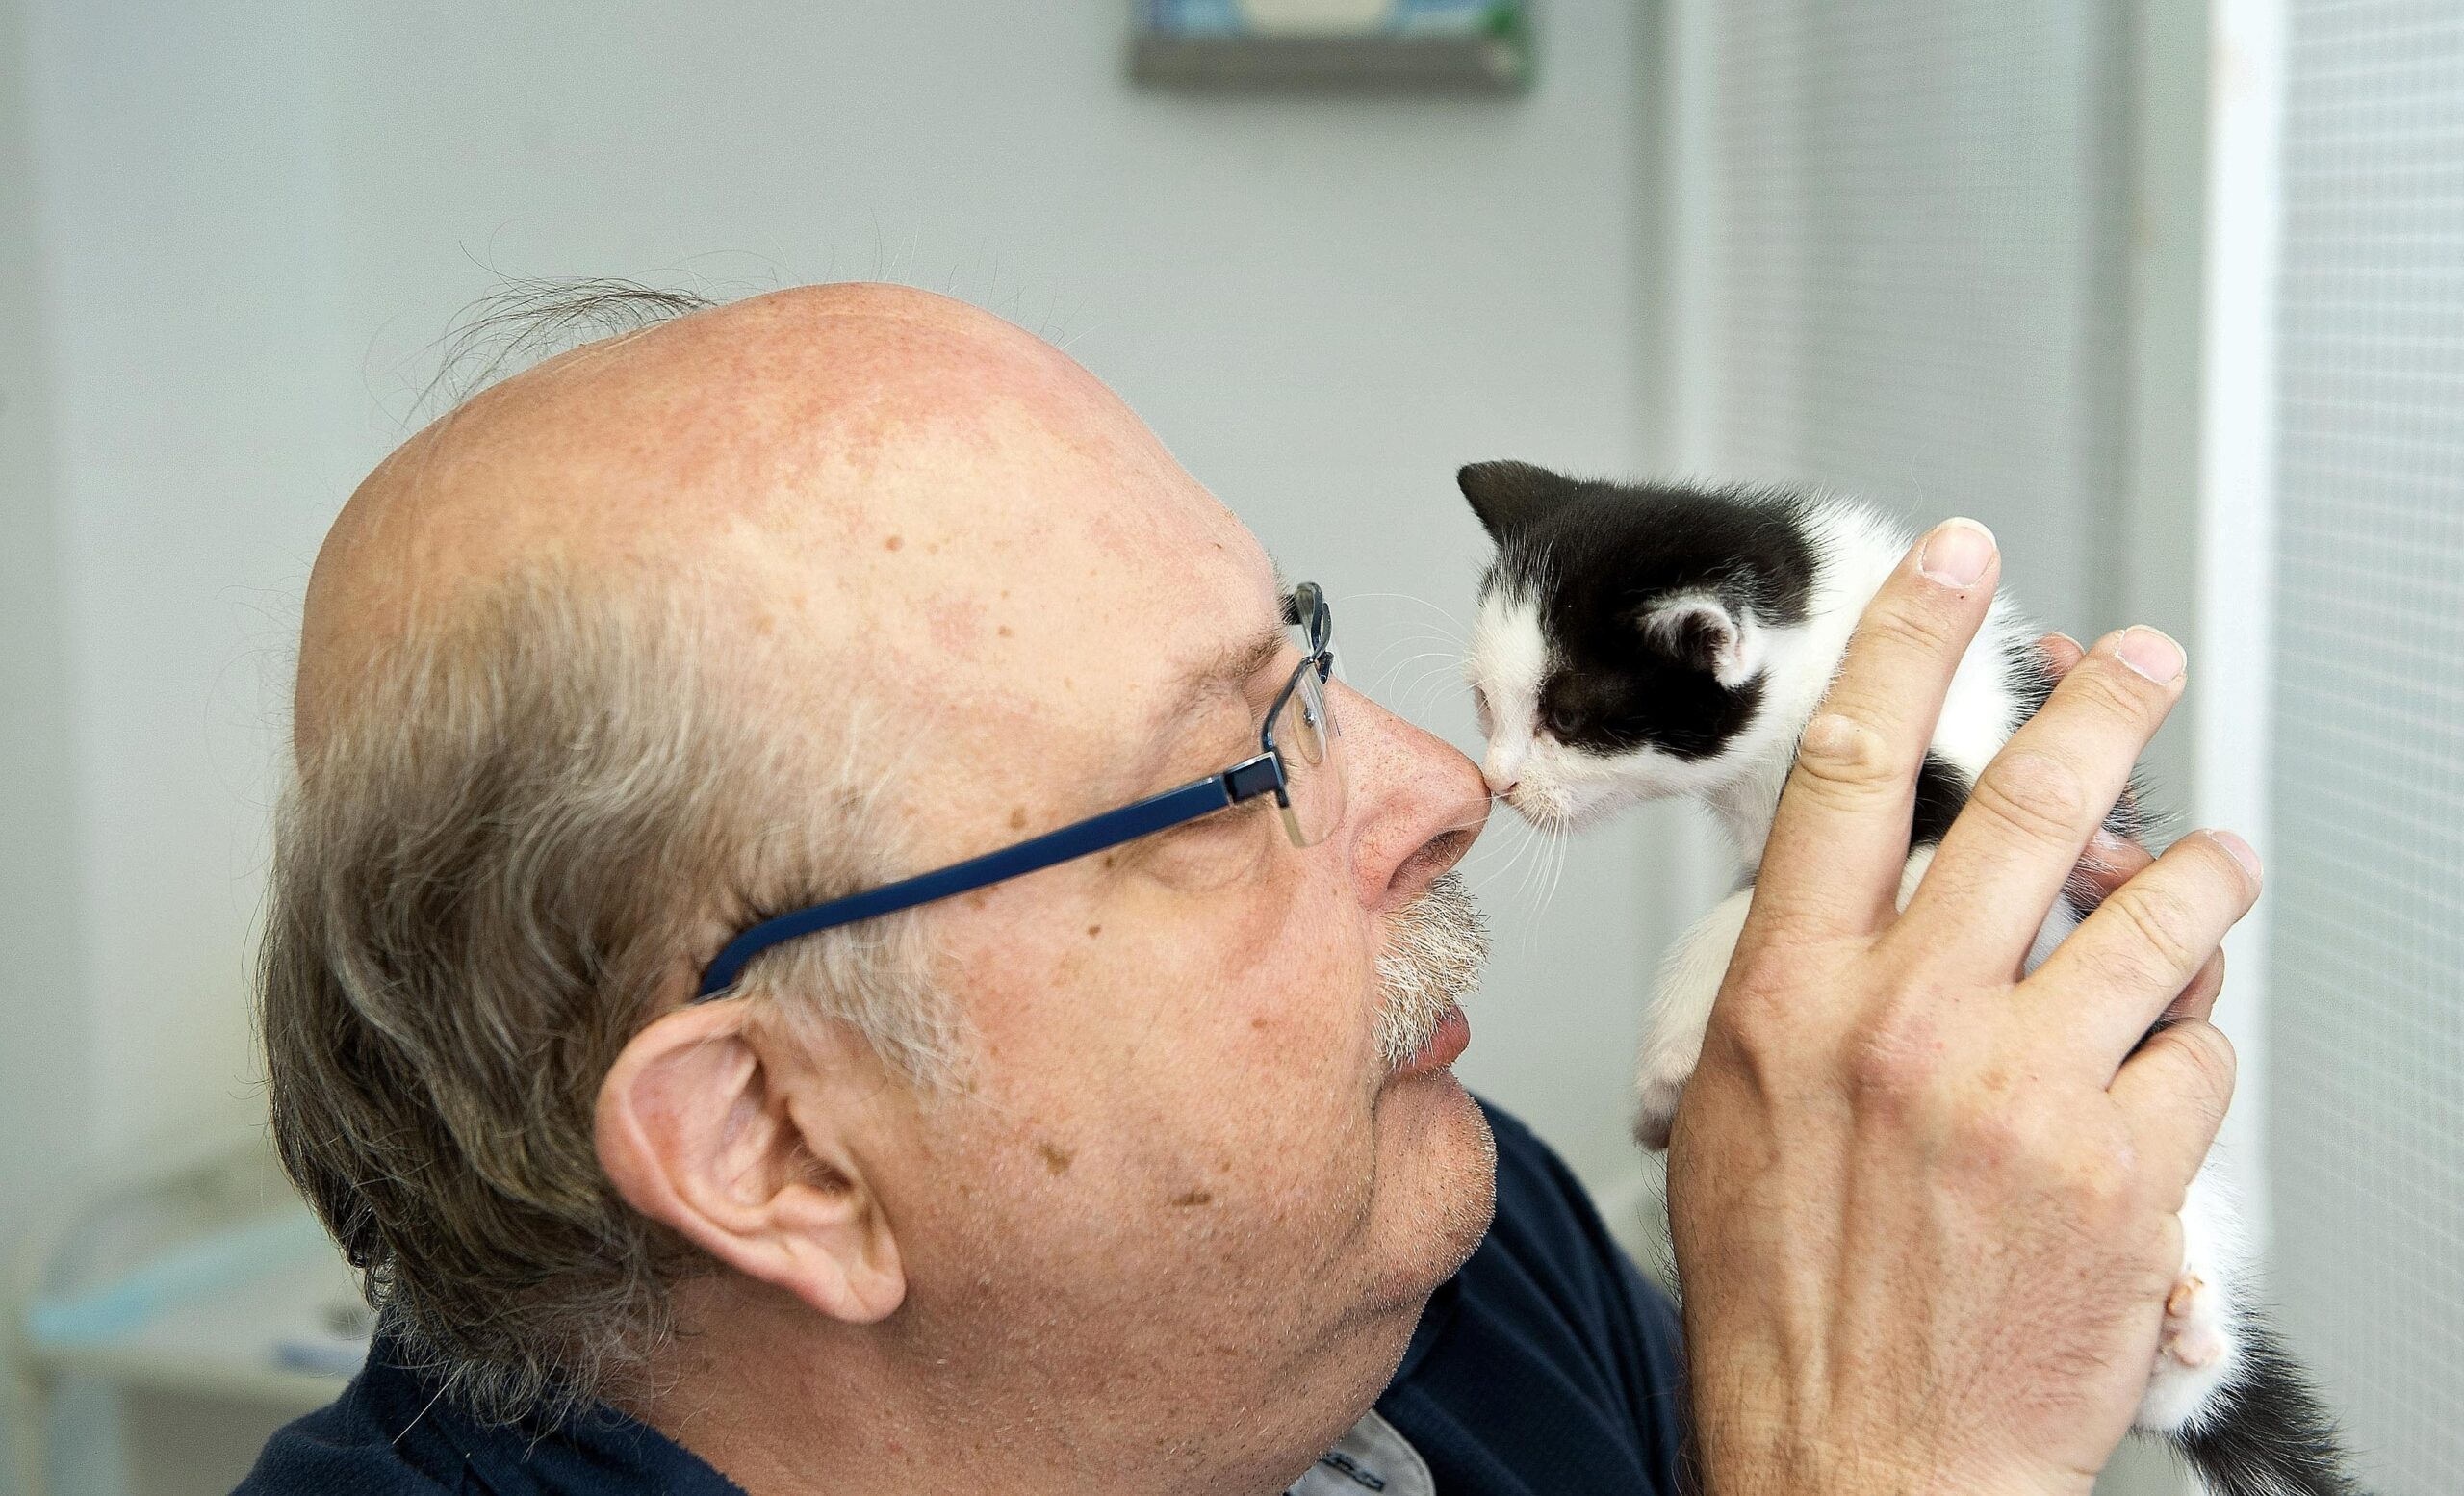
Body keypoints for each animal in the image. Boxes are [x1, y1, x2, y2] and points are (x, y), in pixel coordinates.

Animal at [1458, 458, 2365, 1496]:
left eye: (1566, 718)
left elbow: (1734, 918)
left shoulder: (1953, 795)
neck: (1819, 645)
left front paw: (1660, 1069)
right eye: (1484, 703)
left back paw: (2185, 1345)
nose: (1499, 783)